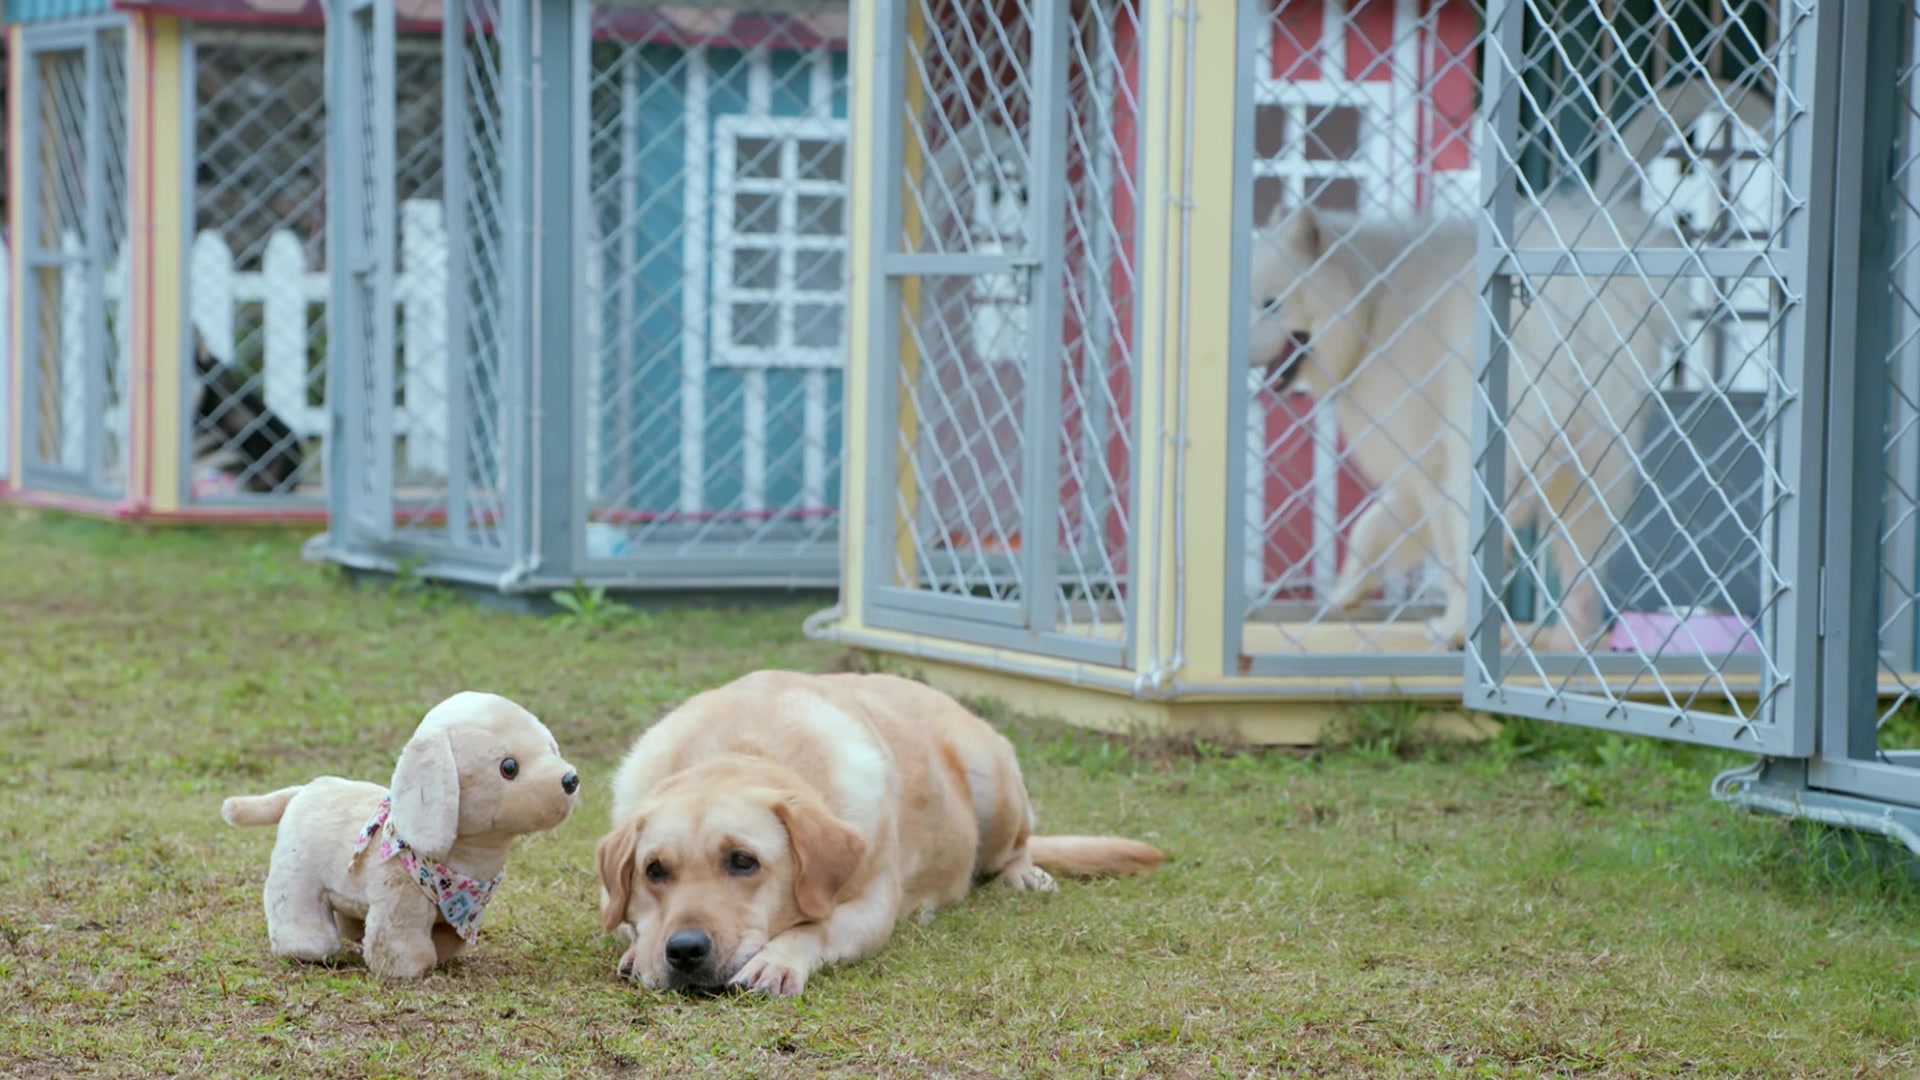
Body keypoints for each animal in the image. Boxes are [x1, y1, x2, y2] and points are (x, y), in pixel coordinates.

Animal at [1251, 79, 1774, 645]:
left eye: (1271, 303)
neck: (1369, 306)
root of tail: (1574, 306)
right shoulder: (1418, 476)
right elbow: (1372, 527)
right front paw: (1346, 593)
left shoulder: (1428, 465)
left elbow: (1416, 541)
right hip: (1595, 468)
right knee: (1582, 570)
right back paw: (1572, 639)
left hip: (1485, 460)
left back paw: (1456, 630)